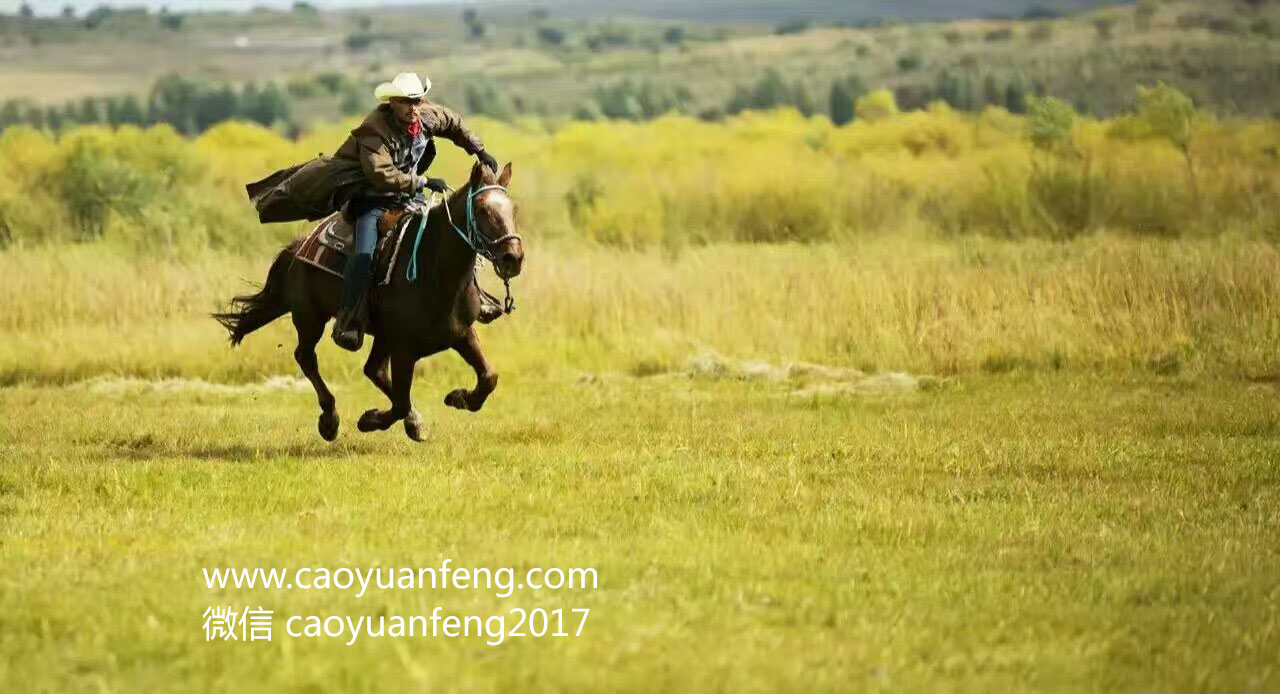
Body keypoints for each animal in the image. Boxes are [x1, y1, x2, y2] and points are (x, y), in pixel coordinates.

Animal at [212, 162, 522, 443]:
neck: (433, 270)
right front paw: (370, 420)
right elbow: (399, 403)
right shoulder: (403, 348)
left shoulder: (461, 333)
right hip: (310, 317)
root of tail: (297, 248)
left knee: (373, 371)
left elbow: (489, 377)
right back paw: (330, 420)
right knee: (306, 357)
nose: (513, 258)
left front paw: (458, 398)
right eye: (481, 210)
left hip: (376, 334)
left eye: (513, 210)